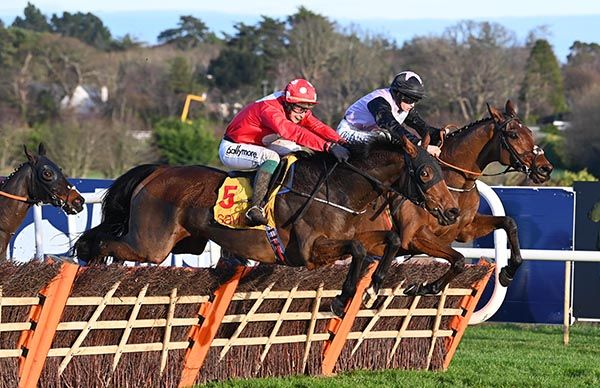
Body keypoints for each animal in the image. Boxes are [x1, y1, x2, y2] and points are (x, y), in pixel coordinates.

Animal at [75, 133, 460, 316]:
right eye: (425, 173)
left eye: (441, 171)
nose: (453, 211)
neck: (340, 187)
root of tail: (156, 171)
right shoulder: (306, 252)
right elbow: (358, 250)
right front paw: (343, 299)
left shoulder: (363, 233)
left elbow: (390, 240)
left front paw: (374, 287)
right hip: (150, 245)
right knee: (100, 243)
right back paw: (91, 272)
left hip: (182, 242)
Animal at [356, 101, 552, 298]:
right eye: (513, 135)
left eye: (530, 132)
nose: (545, 169)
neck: (454, 184)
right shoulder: (415, 236)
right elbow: (458, 260)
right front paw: (425, 287)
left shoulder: (465, 230)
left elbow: (509, 222)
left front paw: (508, 273)